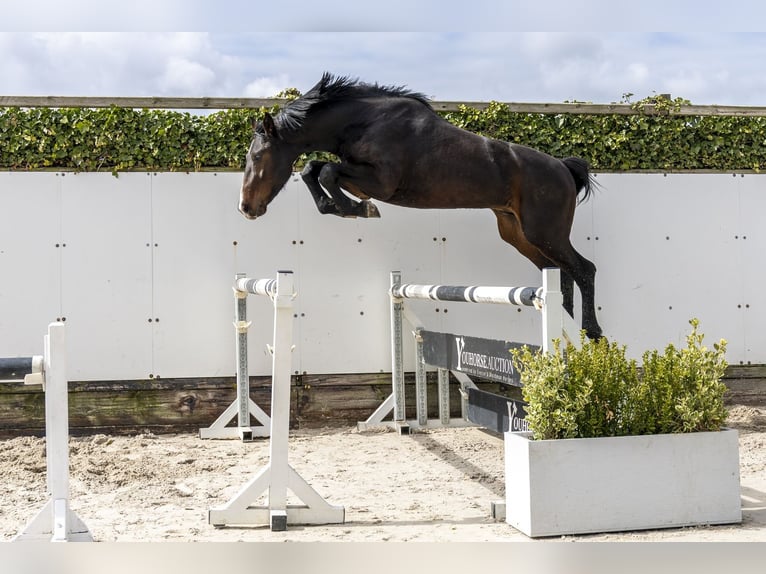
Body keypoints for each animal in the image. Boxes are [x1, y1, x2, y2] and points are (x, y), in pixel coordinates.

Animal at [239, 72, 603, 340]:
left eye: (257, 157)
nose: (246, 208)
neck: (361, 122)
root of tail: (563, 168)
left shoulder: (380, 182)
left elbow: (326, 171)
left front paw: (359, 209)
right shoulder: (359, 175)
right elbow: (313, 169)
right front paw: (344, 207)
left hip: (544, 232)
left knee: (583, 269)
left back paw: (591, 331)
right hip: (518, 234)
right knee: (560, 272)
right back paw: (568, 326)